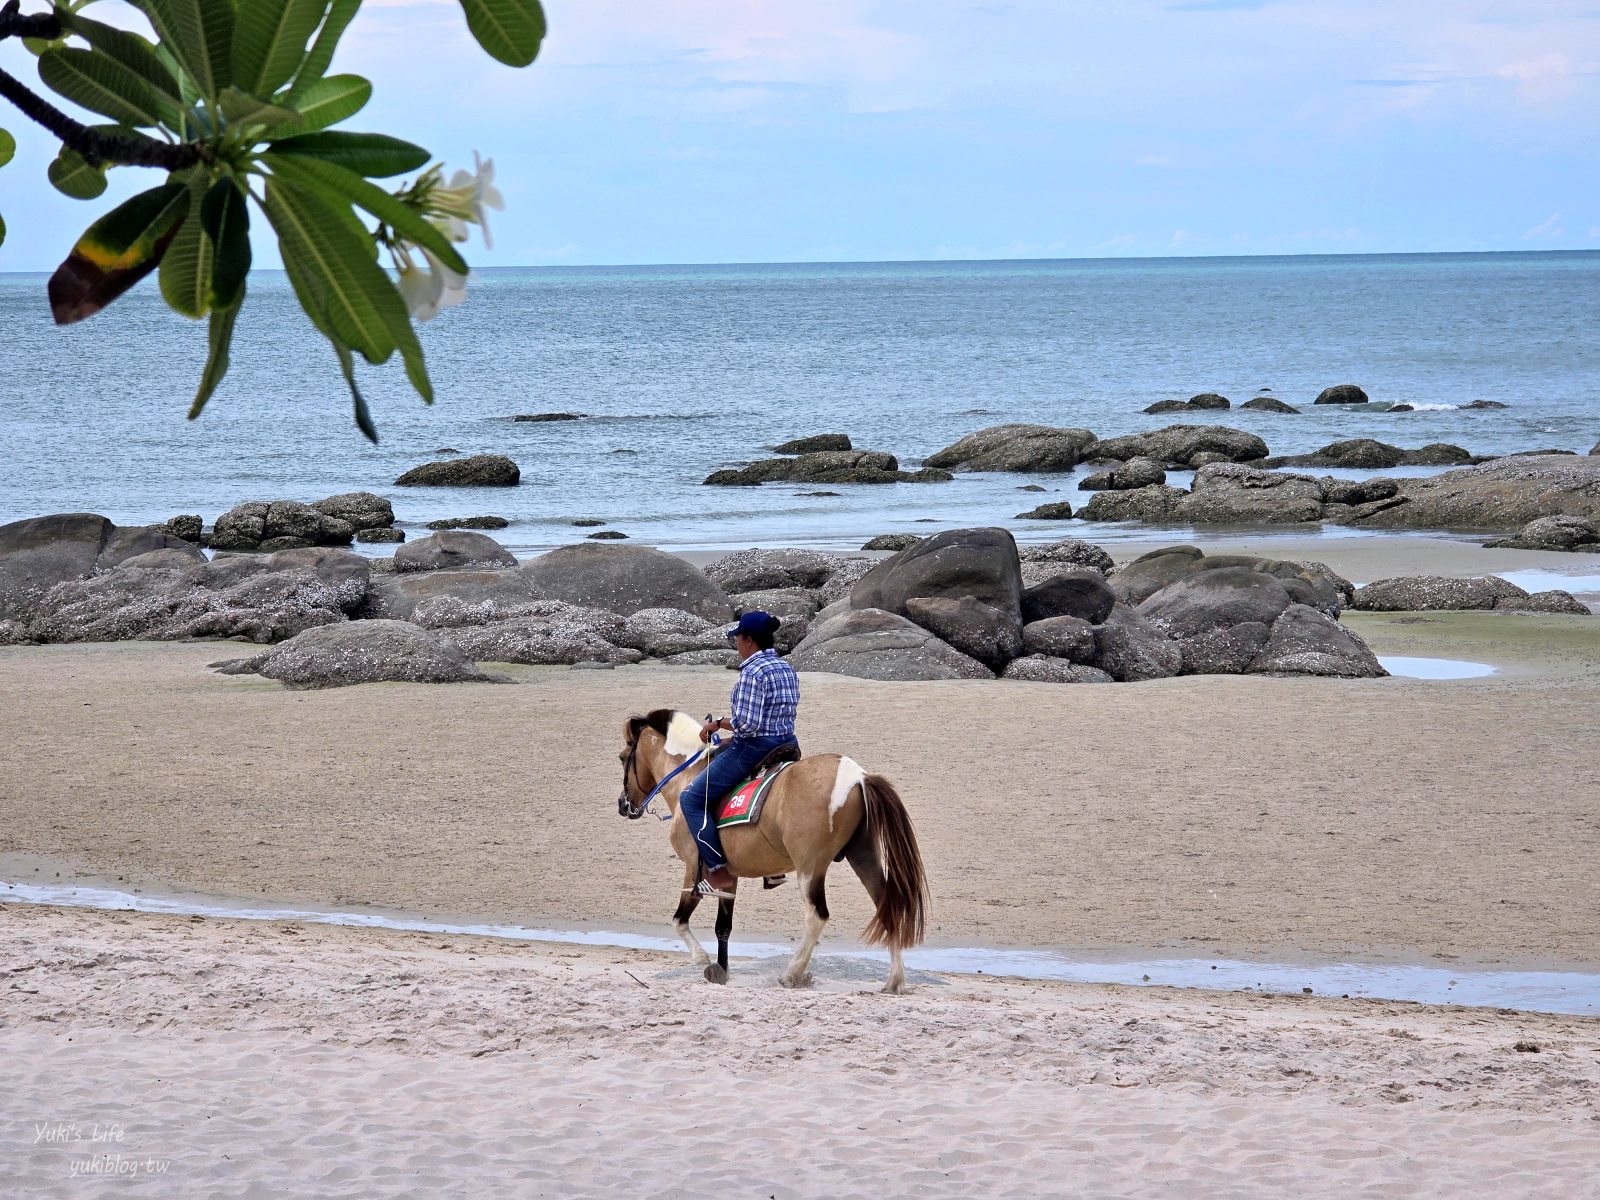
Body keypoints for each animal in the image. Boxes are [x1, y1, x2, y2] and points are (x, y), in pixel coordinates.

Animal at [617, 710, 934, 992]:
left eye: (622, 757)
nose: (623, 804)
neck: (690, 777)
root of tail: (857, 776)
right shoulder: (727, 876)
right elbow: (723, 927)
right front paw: (722, 970)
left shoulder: (694, 866)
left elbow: (679, 920)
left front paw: (703, 961)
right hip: (864, 856)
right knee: (886, 906)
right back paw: (894, 981)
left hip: (810, 868)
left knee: (817, 916)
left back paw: (792, 974)